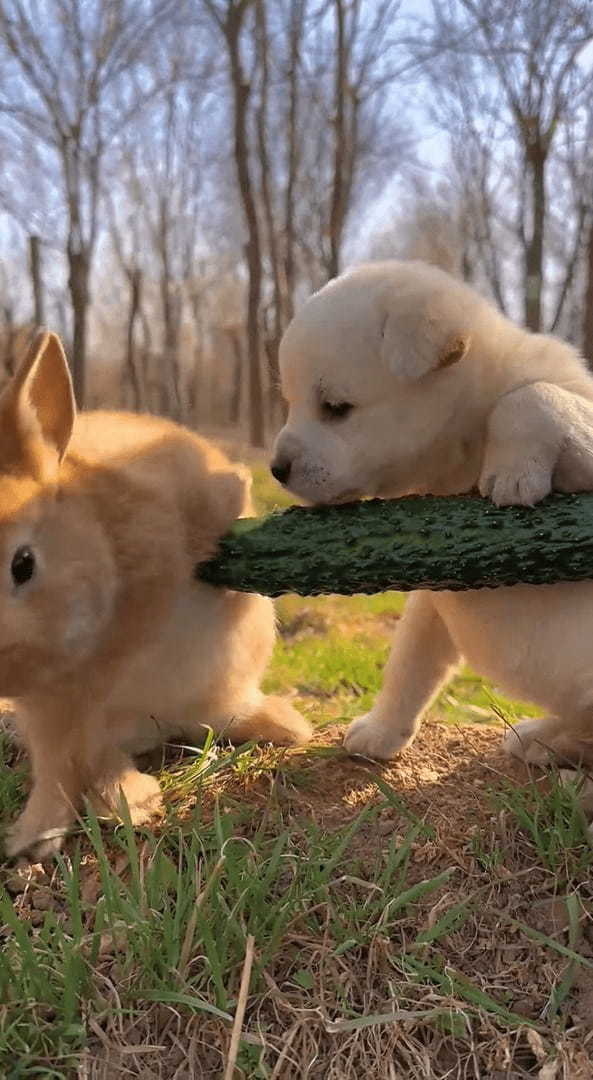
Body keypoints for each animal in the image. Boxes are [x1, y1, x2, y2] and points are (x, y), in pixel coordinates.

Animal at [2, 330, 308, 859]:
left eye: (24, 564)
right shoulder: (54, 712)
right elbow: (60, 769)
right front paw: (32, 838)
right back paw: (132, 801)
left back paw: (287, 727)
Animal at [272, 261, 593, 768]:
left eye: (336, 408)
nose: (277, 468)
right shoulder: (437, 592)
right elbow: (410, 663)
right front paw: (381, 730)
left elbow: (532, 395)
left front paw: (513, 471)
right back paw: (545, 738)